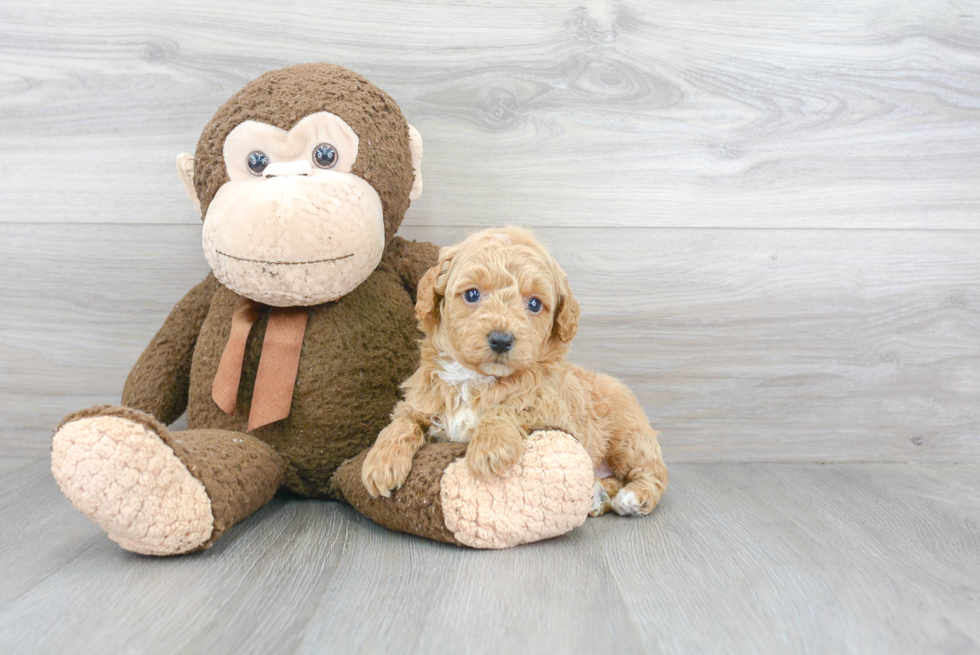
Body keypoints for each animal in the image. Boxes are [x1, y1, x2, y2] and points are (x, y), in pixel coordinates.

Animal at [364, 226, 668, 516]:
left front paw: (489, 449)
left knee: (654, 473)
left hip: (628, 436)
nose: (501, 339)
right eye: (472, 294)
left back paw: (634, 497)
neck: (475, 379)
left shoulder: (553, 408)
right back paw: (598, 495)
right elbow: (402, 422)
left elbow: (510, 406)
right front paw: (380, 463)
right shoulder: (421, 400)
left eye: (534, 303)